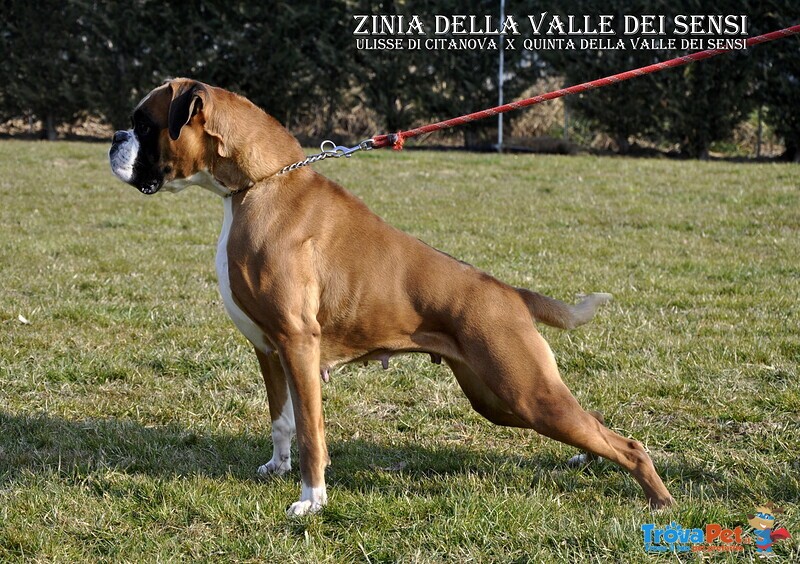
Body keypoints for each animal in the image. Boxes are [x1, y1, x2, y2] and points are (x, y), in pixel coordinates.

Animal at [109, 78, 672, 516]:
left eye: (144, 123)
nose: (113, 138)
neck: (256, 185)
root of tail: (510, 293)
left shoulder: (298, 343)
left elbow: (311, 430)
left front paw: (311, 500)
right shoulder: (269, 350)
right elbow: (282, 421)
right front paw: (276, 468)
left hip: (524, 393)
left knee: (629, 444)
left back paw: (660, 500)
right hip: (502, 399)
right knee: (594, 425)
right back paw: (592, 461)